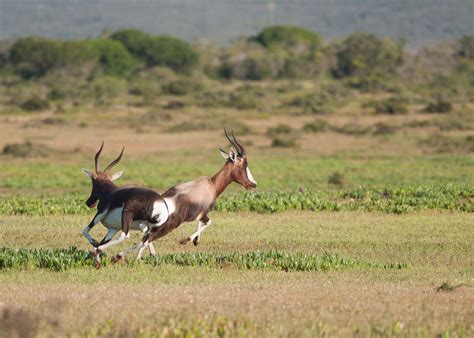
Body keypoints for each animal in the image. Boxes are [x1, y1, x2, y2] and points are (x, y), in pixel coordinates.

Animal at [126, 129, 258, 258]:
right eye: (244, 164)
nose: (253, 184)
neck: (211, 184)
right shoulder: (204, 214)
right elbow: (209, 222)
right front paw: (186, 240)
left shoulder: (200, 215)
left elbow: (201, 223)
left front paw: (196, 241)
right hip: (168, 226)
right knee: (147, 238)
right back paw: (137, 257)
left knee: (146, 235)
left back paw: (149, 253)